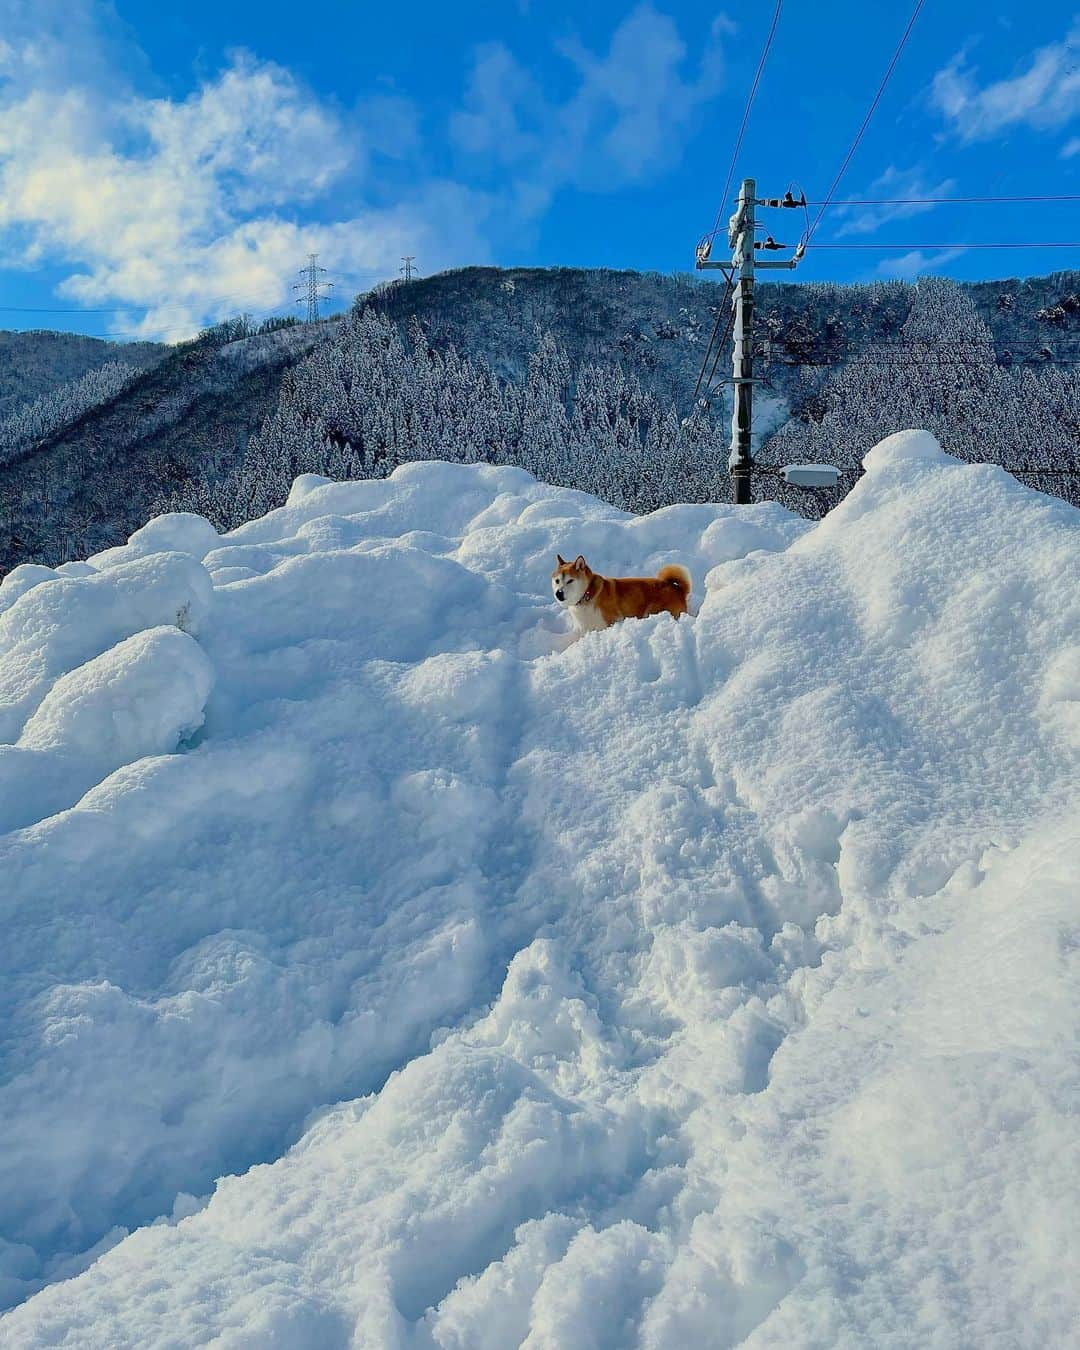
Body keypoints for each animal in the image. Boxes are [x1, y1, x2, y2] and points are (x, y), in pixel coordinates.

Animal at [548, 550, 691, 634]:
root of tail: (678, 589)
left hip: (653, 611)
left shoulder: (610, 622)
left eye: (570, 581)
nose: (558, 593)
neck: (587, 594)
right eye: (557, 581)